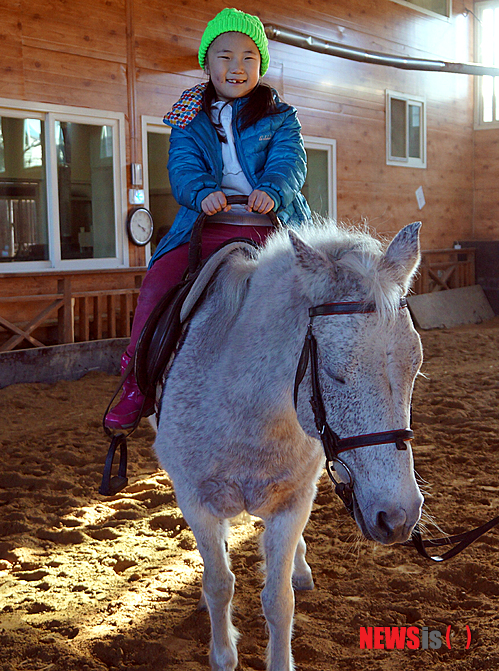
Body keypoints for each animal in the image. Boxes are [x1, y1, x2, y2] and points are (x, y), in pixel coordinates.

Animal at [153, 222, 426, 671]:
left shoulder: (292, 504)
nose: (398, 515)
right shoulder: (195, 500)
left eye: (415, 368)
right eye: (334, 372)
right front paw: (223, 653)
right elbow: (219, 583)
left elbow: (279, 601)